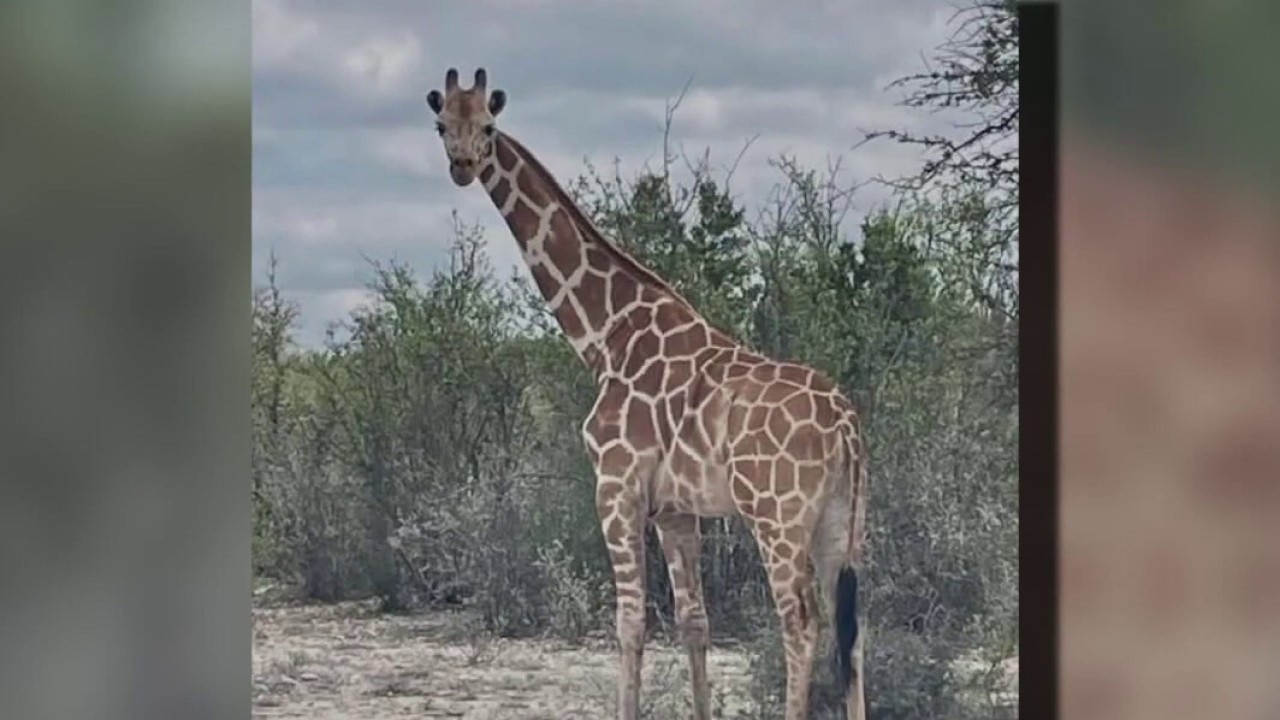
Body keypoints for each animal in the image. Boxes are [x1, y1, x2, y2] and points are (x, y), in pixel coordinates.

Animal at [425, 68, 869, 720]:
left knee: (801, 624)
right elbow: (693, 622)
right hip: (843, 519)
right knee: (851, 629)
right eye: (441, 125)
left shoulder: (616, 486)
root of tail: (845, 425)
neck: (606, 335)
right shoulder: (677, 510)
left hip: (778, 516)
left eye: (487, 126)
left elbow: (631, 622)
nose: (461, 164)